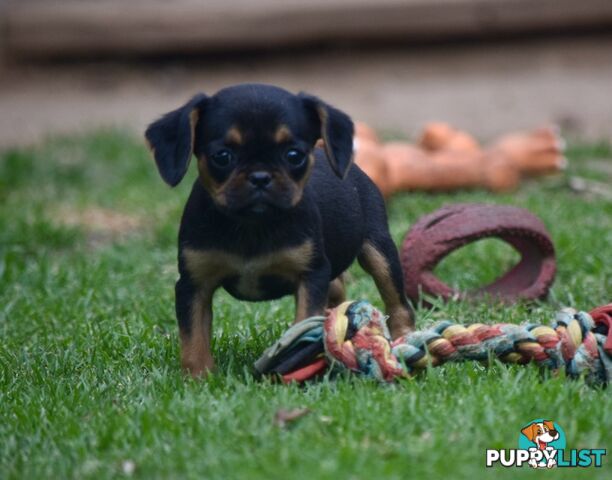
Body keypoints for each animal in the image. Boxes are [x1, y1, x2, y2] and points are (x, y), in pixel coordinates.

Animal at [146, 84, 414, 376]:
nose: (260, 177)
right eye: (222, 157)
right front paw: (198, 378)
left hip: (380, 251)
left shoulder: (311, 275)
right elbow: (193, 337)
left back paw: (404, 339)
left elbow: (303, 322)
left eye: (293, 155)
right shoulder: (193, 284)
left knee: (398, 303)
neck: (252, 225)